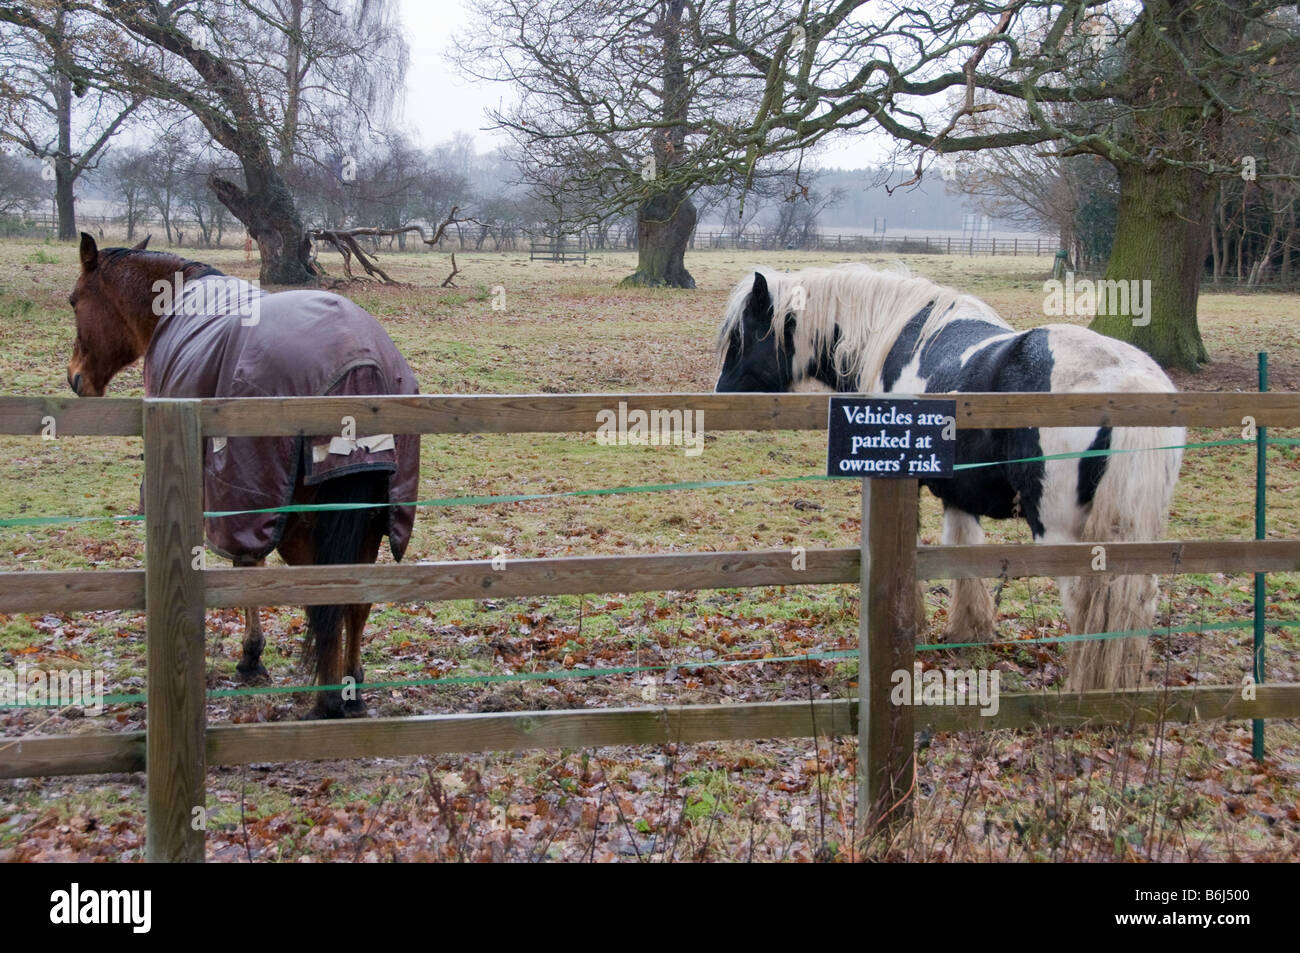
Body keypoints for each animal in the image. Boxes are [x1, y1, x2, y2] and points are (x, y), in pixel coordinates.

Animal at [66, 233, 421, 718]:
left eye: (74, 301)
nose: (75, 379)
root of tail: (359, 369)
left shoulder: (236, 498)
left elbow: (247, 568)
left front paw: (251, 656)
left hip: (299, 526)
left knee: (324, 599)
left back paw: (329, 699)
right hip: (371, 521)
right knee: (356, 599)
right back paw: (351, 686)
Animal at [715, 263, 1184, 691]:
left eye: (740, 337)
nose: (720, 397)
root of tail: (1128, 382)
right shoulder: (960, 493)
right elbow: (963, 553)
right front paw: (968, 634)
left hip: (1060, 533)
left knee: (1085, 602)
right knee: (1136, 598)